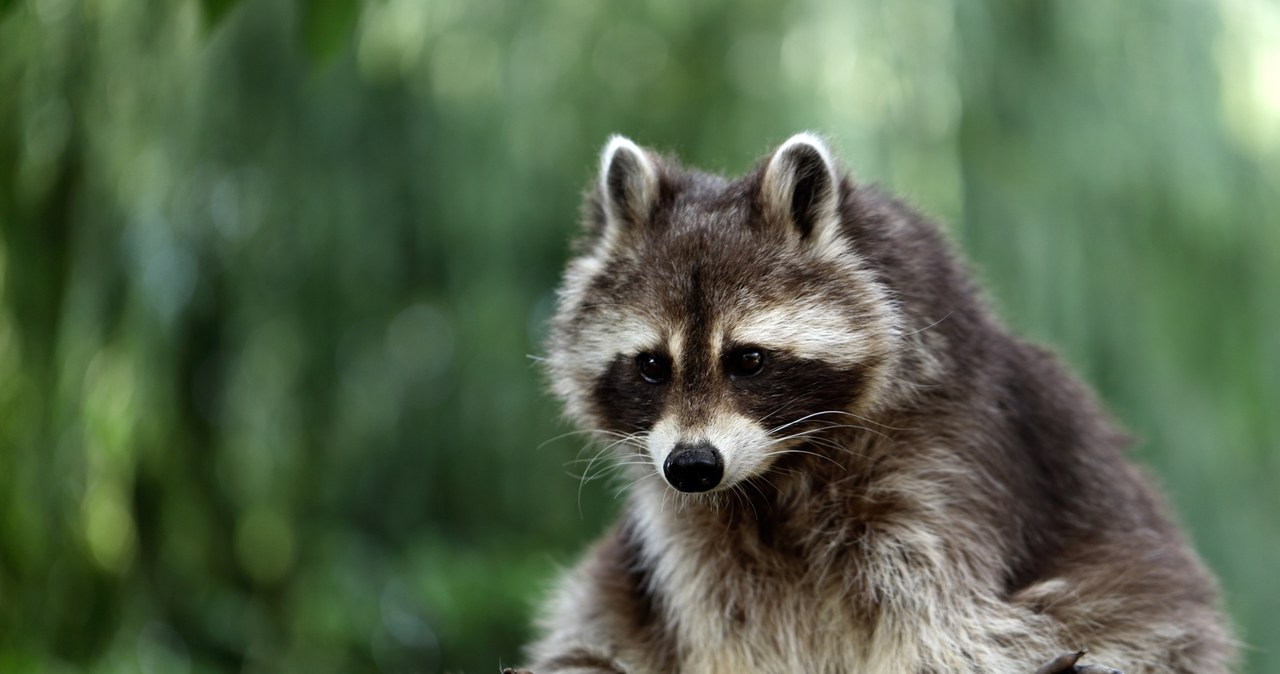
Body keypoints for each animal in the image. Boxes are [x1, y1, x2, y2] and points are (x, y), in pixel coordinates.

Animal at [514, 134, 1233, 670]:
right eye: (652, 367)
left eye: (747, 360)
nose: (693, 467)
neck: (778, 474)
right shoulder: (686, 532)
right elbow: (727, 623)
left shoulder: (945, 466)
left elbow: (940, 623)